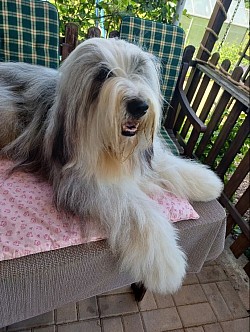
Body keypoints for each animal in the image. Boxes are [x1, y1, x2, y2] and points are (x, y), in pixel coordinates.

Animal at [0, 37, 223, 294]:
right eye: (103, 74)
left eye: (138, 70)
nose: (139, 106)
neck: (110, 146)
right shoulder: (82, 180)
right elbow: (135, 208)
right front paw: (164, 261)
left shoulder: (144, 155)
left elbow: (165, 163)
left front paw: (207, 182)